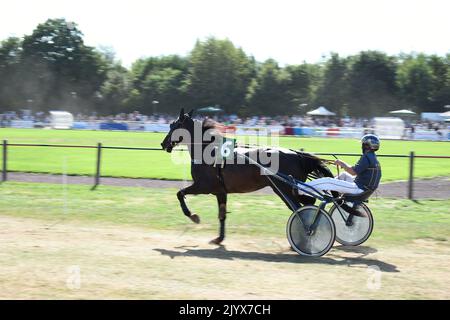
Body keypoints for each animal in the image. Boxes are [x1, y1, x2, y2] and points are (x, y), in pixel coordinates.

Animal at [161, 109, 334, 244]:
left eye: (174, 125)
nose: (163, 144)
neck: (208, 152)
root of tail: (297, 155)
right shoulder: (220, 191)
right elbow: (222, 215)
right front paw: (219, 239)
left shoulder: (203, 186)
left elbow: (180, 193)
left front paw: (193, 216)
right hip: (286, 189)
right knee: (308, 203)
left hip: (284, 189)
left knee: (300, 209)